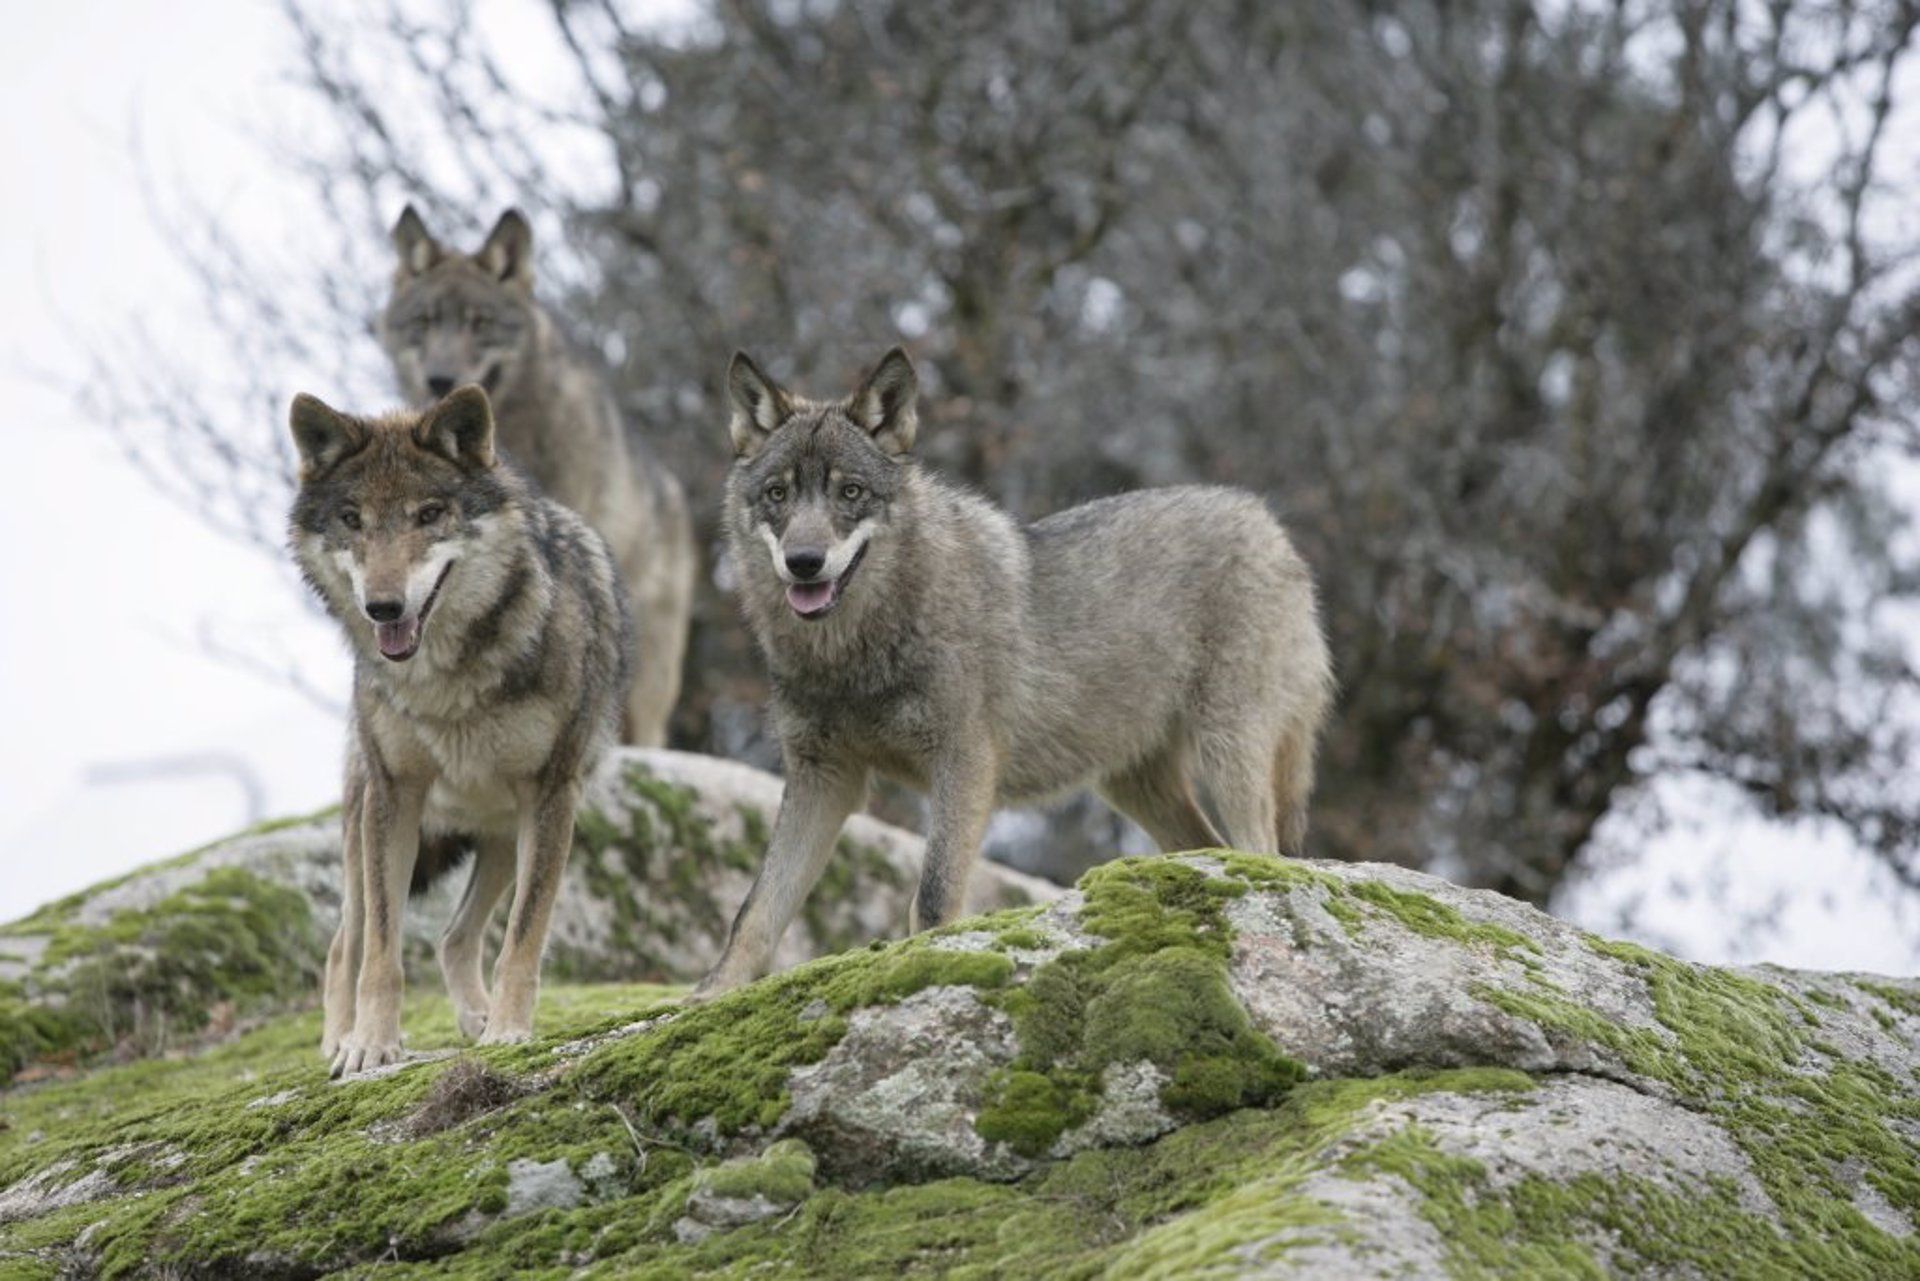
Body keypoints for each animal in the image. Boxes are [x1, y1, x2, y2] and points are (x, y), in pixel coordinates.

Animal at [288, 386, 629, 1075]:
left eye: (428, 514)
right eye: (352, 519)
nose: (383, 608)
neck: (445, 682)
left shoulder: (552, 795)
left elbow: (523, 937)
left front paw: (508, 1031)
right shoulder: (395, 796)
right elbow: (382, 951)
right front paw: (370, 1046)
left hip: (503, 834)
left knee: (454, 936)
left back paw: (478, 1018)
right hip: (365, 823)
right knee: (345, 942)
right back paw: (338, 1039)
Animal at [695, 345, 1336, 998]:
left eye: (850, 491)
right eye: (778, 494)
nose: (804, 562)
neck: (852, 655)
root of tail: (1266, 521)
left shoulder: (964, 762)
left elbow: (932, 897)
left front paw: (922, 966)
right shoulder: (823, 778)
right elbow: (755, 911)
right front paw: (710, 995)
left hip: (1228, 752)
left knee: (1262, 853)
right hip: (1135, 784)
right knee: (1211, 850)